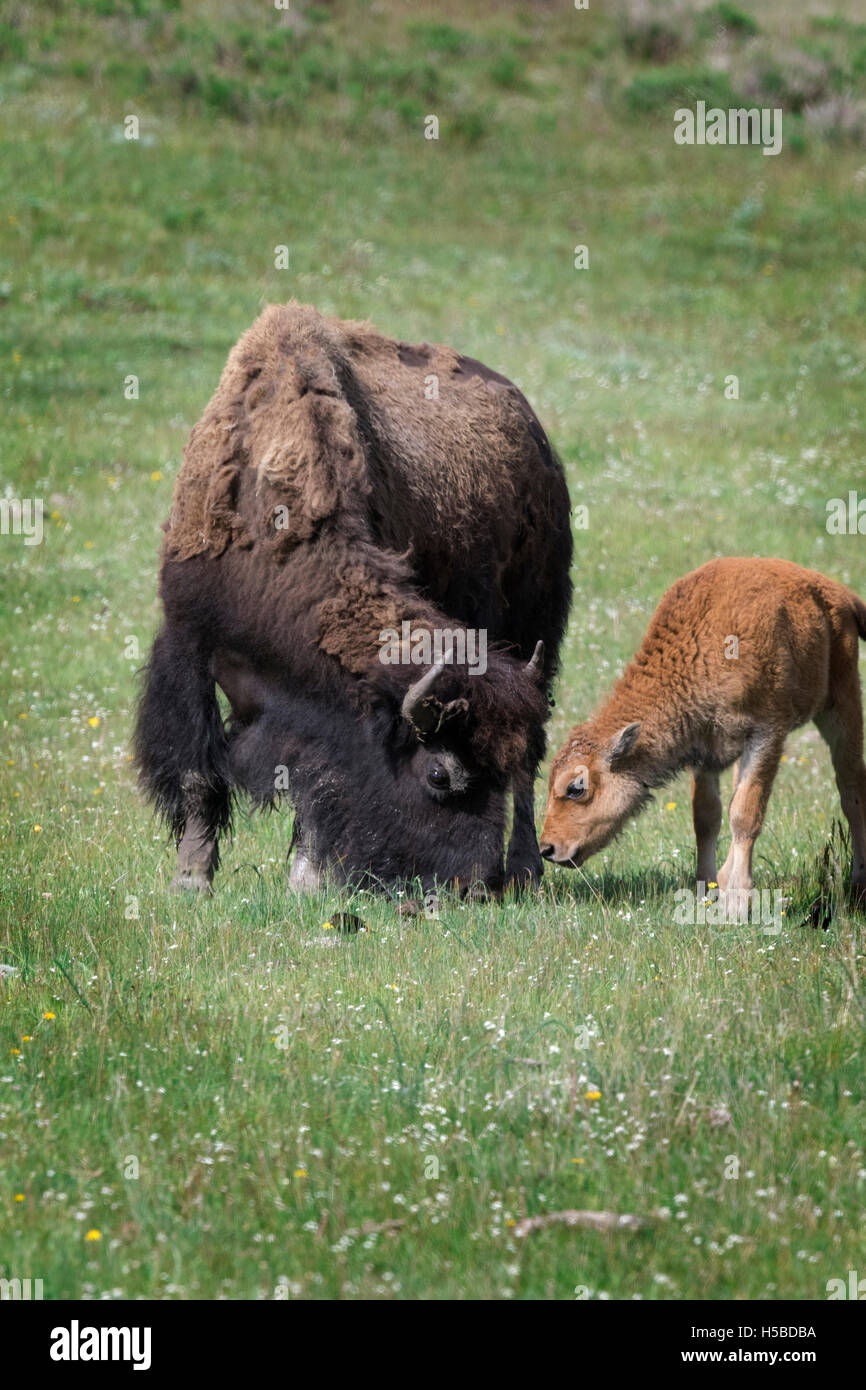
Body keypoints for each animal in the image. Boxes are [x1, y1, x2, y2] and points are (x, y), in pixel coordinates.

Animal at [134, 301, 572, 897]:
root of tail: (536, 438)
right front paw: (192, 879)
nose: (476, 886)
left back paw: (527, 869)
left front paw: (306, 879)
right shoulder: (189, 648)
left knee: (530, 758)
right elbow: (200, 773)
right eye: (440, 774)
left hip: (535, 632)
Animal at [540, 557, 866, 903]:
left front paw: (737, 899)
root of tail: (839, 593)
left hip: (841, 705)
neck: (699, 649)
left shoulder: (765, 735)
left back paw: (858, 882)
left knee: (851, 788)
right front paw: (707, 890)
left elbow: (745, 814)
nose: (547, 849)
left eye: (575, 787)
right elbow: (707, 818)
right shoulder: (704, 752)